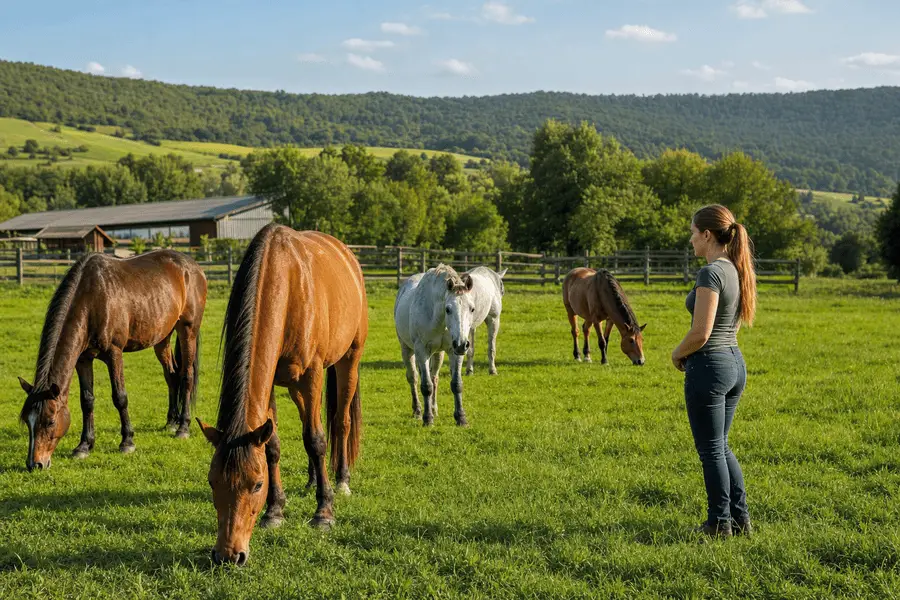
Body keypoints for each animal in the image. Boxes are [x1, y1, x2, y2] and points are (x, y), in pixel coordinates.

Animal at [18, 250, 206, 471]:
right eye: (27, 421)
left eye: (50, 421)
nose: (35, 464)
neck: (92, 300)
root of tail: (191, 265)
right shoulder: (83, 359)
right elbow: (87, 400)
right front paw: (84, 446)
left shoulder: (114, 354)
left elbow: (120, 397)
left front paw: (127, 442)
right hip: (162, 337)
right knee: (171, 375)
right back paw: (171, 422)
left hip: (188, 330)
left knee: (186, 375)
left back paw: (183, 427)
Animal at [196, 223, 368, 567]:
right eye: (212, 481)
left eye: (256, 484)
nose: (228, 555)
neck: (285, 283)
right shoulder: (272, 380)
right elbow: (272, 446)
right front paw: (275, 511)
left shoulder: (312, 374)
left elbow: (316, 439)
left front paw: (324, 512)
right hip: (295, 385)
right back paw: (314, 479)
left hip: (348, 360)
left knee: (340, 422)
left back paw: (341, 480)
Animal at [394, 264, 476, 427]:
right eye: (448, 309)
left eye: (472, 308)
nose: (463, 344)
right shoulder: (421, 350)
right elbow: (426, 386)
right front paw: (428, 419)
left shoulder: (453, 351)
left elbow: (456, 384)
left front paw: (461, 418)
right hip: (407, 349)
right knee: (413, 377)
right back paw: (418, 411)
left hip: (439, 353)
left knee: (434, 378)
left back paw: (434, 409)